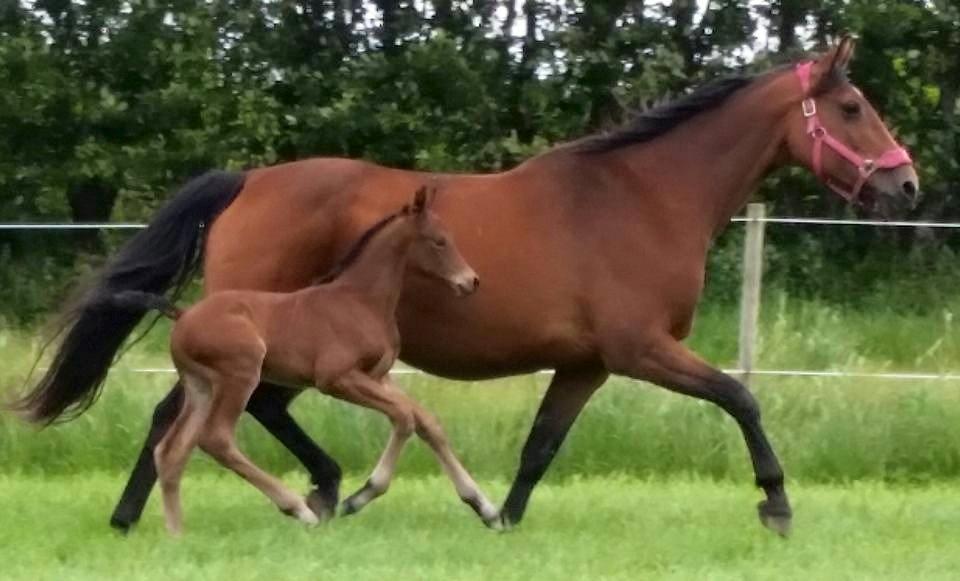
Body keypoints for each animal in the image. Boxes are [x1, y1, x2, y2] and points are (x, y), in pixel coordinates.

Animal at [120, 188, 496, 532]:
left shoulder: (379, 376)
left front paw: (486, 507)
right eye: (439, 241)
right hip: (240, 374)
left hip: (201, 386)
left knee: (172, 450)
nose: (471, 281)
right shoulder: (336, 379)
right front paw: (361, 496)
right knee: (217, 439)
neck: (361, 300)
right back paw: (299, 509)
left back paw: (177, 534)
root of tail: (182, 315)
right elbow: (404, 417)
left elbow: (427, 422)